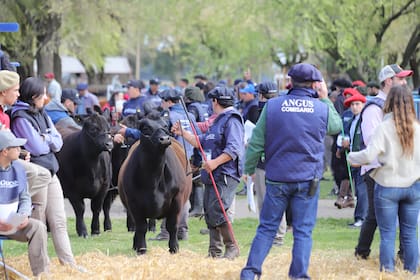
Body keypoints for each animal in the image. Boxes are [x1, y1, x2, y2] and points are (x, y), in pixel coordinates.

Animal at [117, 111, 191, 254]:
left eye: (165, 126)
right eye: (146, 128)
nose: (165, 139)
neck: (153, 178)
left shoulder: (177, 199)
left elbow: (172, 226)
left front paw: (174, 248)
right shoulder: (134, 204)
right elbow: (141, 227)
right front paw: (141, 249)